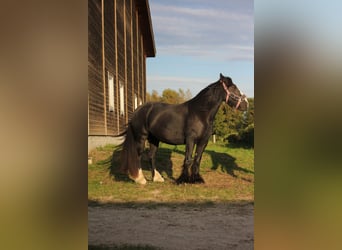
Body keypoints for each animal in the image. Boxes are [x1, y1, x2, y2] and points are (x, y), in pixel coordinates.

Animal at [118, 73, 248, 185]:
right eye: (234, 88)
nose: (246, 104)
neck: (200, 113)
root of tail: (139, 109)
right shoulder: (191, 139)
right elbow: (188, 159)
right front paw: (183, 179)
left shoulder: (203, 141)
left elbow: (197, 159)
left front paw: (197, 179)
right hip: (141, 137)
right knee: (138, 155)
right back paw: (140, 179)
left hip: (154, 139)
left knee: (151, 156)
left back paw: (157, 178)